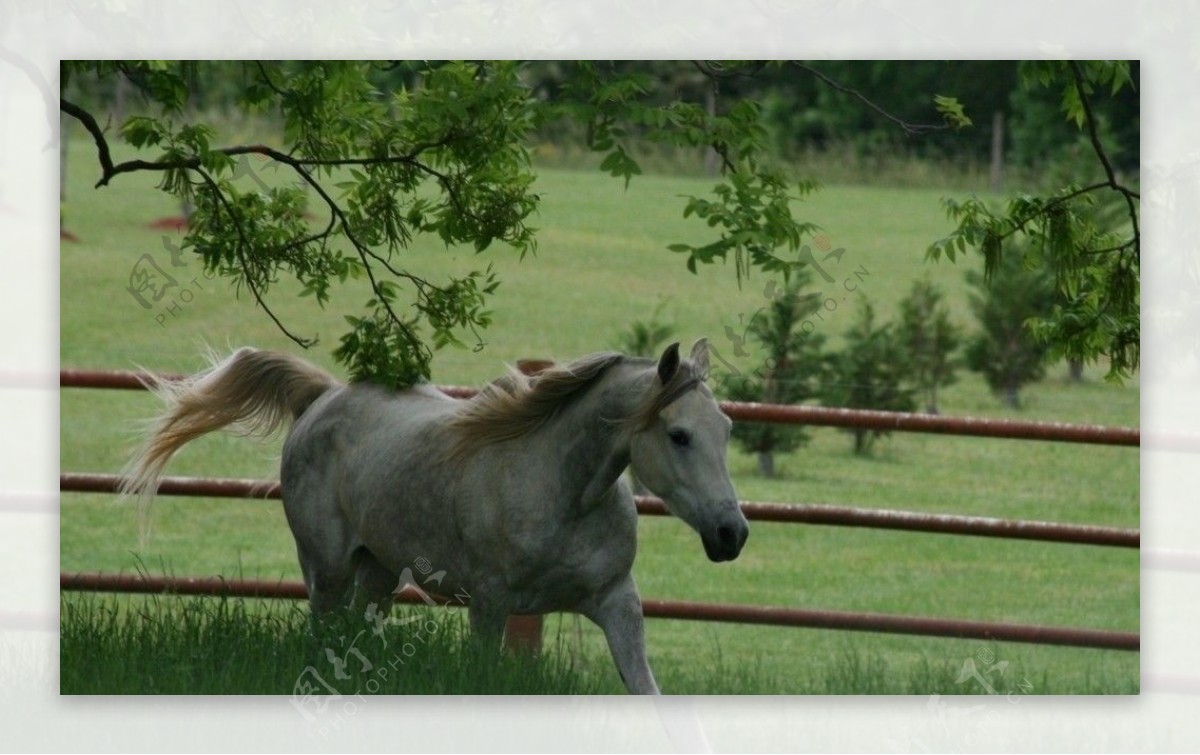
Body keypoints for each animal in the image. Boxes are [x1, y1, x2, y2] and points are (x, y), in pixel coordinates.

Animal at [129, 338, 748, 691]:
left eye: (726, 428)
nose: (732, 534)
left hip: (376, 572)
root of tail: (323, 396)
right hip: (326, 569)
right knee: (321, 634)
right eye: (679, 435)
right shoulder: (491, 605)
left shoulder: (618, 601)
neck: (565, 495)